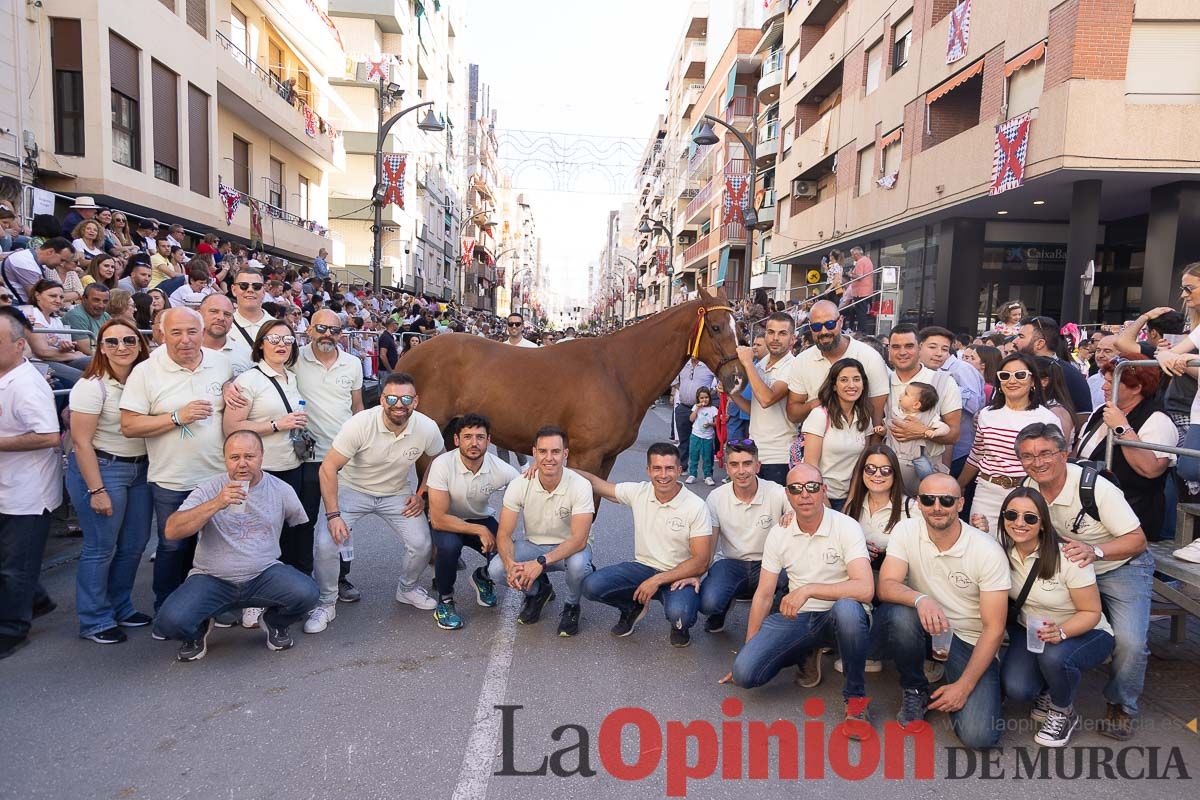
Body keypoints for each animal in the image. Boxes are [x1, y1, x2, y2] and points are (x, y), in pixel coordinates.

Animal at [398, 286, 744, 479]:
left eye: (737, 326)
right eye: (715, 327)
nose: (737, 377)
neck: (617, 371)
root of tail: (412, 351)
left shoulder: (606, 459)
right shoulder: (586, 457)